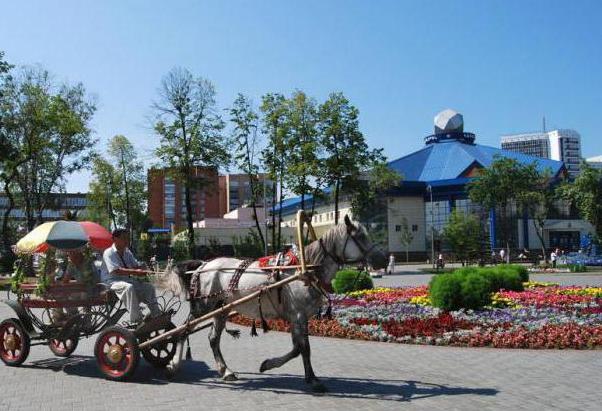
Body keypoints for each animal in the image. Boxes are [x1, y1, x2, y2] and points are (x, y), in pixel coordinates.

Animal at [158, 216, 384, 392]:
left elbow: (301, 348)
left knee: (213, 339)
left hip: (221, 309)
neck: (304, 271)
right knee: (182, 332)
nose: (380, 259)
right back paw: (174, 364)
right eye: (360, 236)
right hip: (202, 307)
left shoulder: (300, 317)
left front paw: (304, 375)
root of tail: (203, 265)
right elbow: (302, 348)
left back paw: (226, 371)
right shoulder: (298, 316)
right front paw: (300, 376)